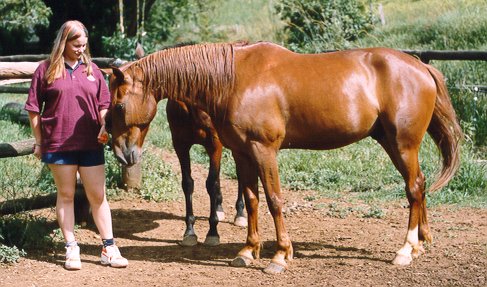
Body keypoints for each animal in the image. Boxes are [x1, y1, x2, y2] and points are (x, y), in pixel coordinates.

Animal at [107, 42, 462, 274]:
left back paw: (405, 250)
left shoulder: (264, 151)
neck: (234, 79)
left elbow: (274, 199)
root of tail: (422, 66)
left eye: (119, 105)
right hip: (391, 143)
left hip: (404, 145)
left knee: (414, 189)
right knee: (420, 185)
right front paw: (248, 251)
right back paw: (420, 242)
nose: (124, 153)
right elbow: (251, 200)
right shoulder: (242, 152)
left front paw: (279, 256)